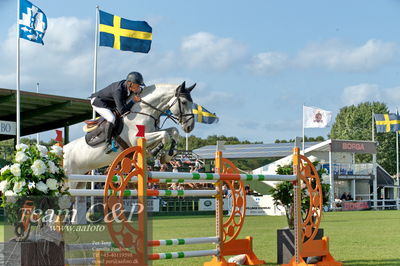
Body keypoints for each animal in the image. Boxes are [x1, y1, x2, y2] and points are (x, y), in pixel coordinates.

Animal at [63, 81, 196, 187]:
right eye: (184, 102)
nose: (190, 127)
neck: (144, 111)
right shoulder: (137, 138)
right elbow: (165, 135)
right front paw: (155, 151)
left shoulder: (154, 131)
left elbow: (173, 131)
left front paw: (167, 155)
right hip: (70, 181)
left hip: (80, 181)